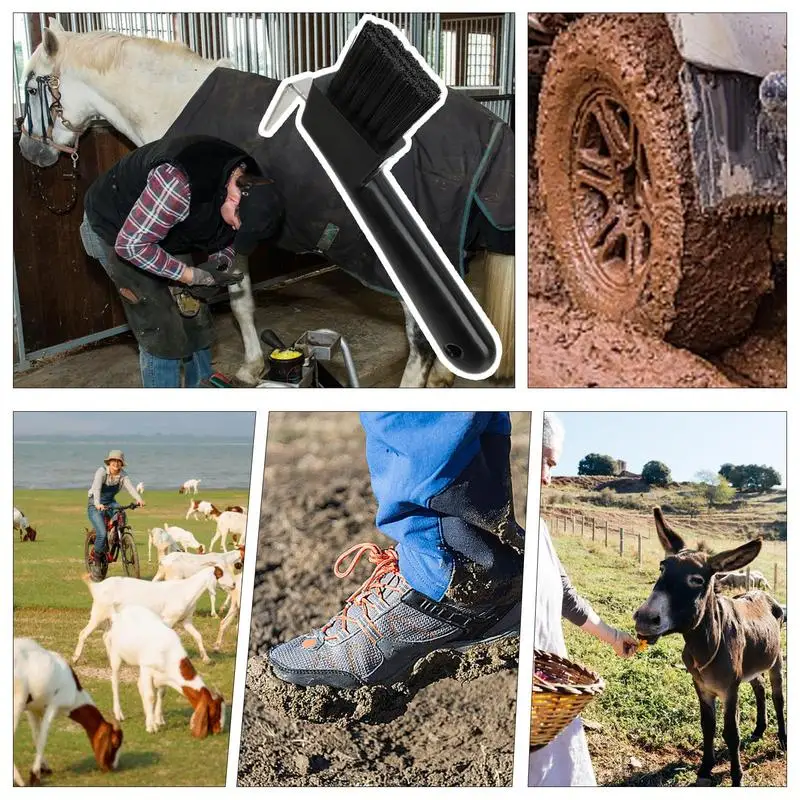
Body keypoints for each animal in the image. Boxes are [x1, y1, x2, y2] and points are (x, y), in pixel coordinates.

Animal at [13, 636, 122, 788]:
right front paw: (34, 776)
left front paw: (44, 768)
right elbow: (42, 738)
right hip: (17, 702)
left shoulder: (33, 710)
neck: (74, 691)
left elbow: (36, 735)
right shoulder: (52, 707)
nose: (111, 767)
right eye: (115, 743)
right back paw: (19, 780)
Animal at [20, 17, 520, 382]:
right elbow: (233, 297)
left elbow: (238, 299)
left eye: (29, 86)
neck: (173, 99)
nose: (29, 150)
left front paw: (248, 367)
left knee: (422, 343)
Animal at [72, 564, 236, 664]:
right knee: (83, 633)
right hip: (99, 613)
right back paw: (75, 658)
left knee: (106, 636)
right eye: (220, 573)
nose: (234, 584)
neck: (186, 590)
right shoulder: (168, 619)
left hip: (111, 618)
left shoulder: (186, 621)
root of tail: (97, 587)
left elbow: (198, 636)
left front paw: (207, 659)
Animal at [101, 608, 225, 736]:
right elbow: (151, 696)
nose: (219, 730)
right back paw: (119, 714)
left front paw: (157, 720)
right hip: (115, 654)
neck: (168, 652)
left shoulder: (162, 675)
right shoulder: (147, 668)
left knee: (139, 684)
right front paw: (151, 727)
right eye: (215, 712)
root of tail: (119, 614)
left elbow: (161, 693)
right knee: (115, 681)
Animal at [636, 510, 784, 784]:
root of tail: (763, 594)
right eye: (662, 568)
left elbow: (731, 733)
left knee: (778, 697)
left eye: (696, 580)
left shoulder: (730, 689)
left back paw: (783, 739)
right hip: (753, 664)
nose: (644, 619)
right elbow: (708, 727)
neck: (706, 644)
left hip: (775, 660)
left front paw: (736, 777)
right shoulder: (702, 687)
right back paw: (759, 729)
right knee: (760, 688)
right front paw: (705, 769)